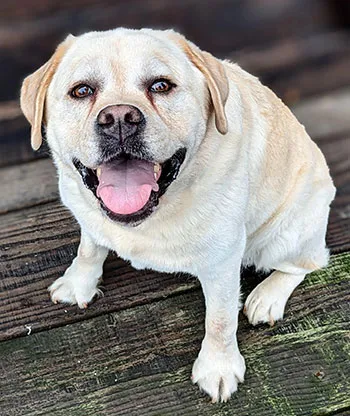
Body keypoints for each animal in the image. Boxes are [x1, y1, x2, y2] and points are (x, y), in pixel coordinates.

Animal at [19, 28, 336, 404]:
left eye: (160, 86)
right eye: (82, 91)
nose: (120, 117)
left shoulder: (221, 262)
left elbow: (220, 320)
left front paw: (218, 367)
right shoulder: (87, 216)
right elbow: (89, 249)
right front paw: (78, 283)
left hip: (285, 235)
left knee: (309, 262)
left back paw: (267, 297)